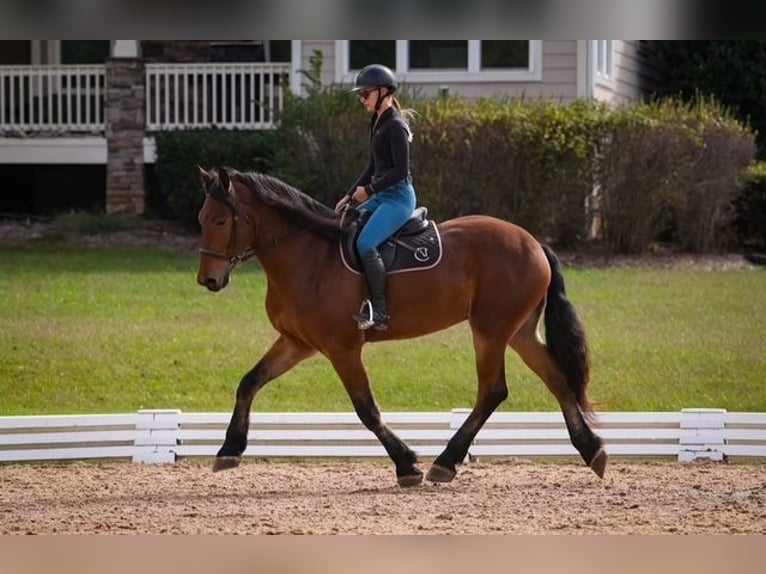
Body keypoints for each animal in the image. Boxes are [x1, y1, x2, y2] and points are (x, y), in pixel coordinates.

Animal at [195, 166, 607, 486]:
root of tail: (533, 242)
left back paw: (446, 462)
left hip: (490, 332)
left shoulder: (342, 349)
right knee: (556, 378)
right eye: (201, 219)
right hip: (519, 332)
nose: (208, 281)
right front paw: (229, 449)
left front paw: (406, 464)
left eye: (221, 220)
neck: (306, 256)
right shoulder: (297, 342)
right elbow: (249, 382)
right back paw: (592, 450)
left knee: (493, 391)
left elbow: (367, 410)